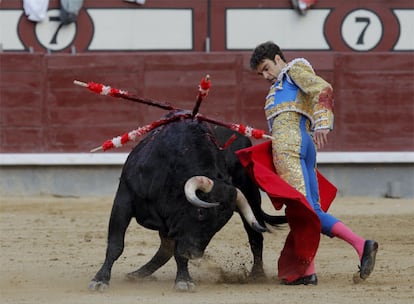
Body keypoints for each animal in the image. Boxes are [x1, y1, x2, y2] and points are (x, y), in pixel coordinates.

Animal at [89, 110, 286, 292]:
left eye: (220, 224)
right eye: (200, 212)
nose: (194, 254)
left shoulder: (180, 227)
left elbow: (178, 252)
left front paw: (183, 280)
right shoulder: (124, 199)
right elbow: (116, 244)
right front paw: (100, 280)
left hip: (251, 196)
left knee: (255, 236)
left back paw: (257, 275)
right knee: (165, 248)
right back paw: (137, 274)